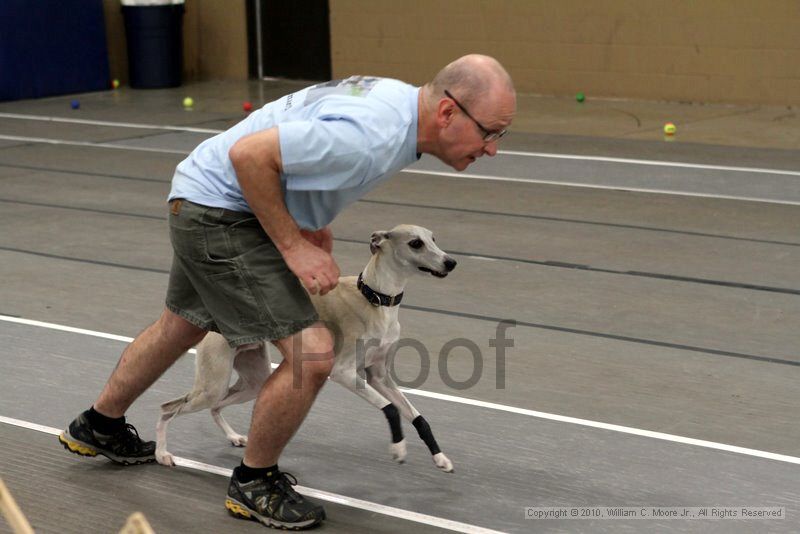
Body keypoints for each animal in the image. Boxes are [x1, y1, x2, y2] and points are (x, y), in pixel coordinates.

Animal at [155, 225, 456, 474]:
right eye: (415, 243)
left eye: (433, 238)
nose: (451, 262)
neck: (375, 299)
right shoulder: (343, 372)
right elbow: (390, 409)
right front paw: (398, 447)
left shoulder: (378, 375)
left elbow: (418, 417)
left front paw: (440, 457)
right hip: (212, 385)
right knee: (168, 408)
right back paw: (162, 453)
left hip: (253, 379)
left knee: (216, 406)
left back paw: (233, 437)